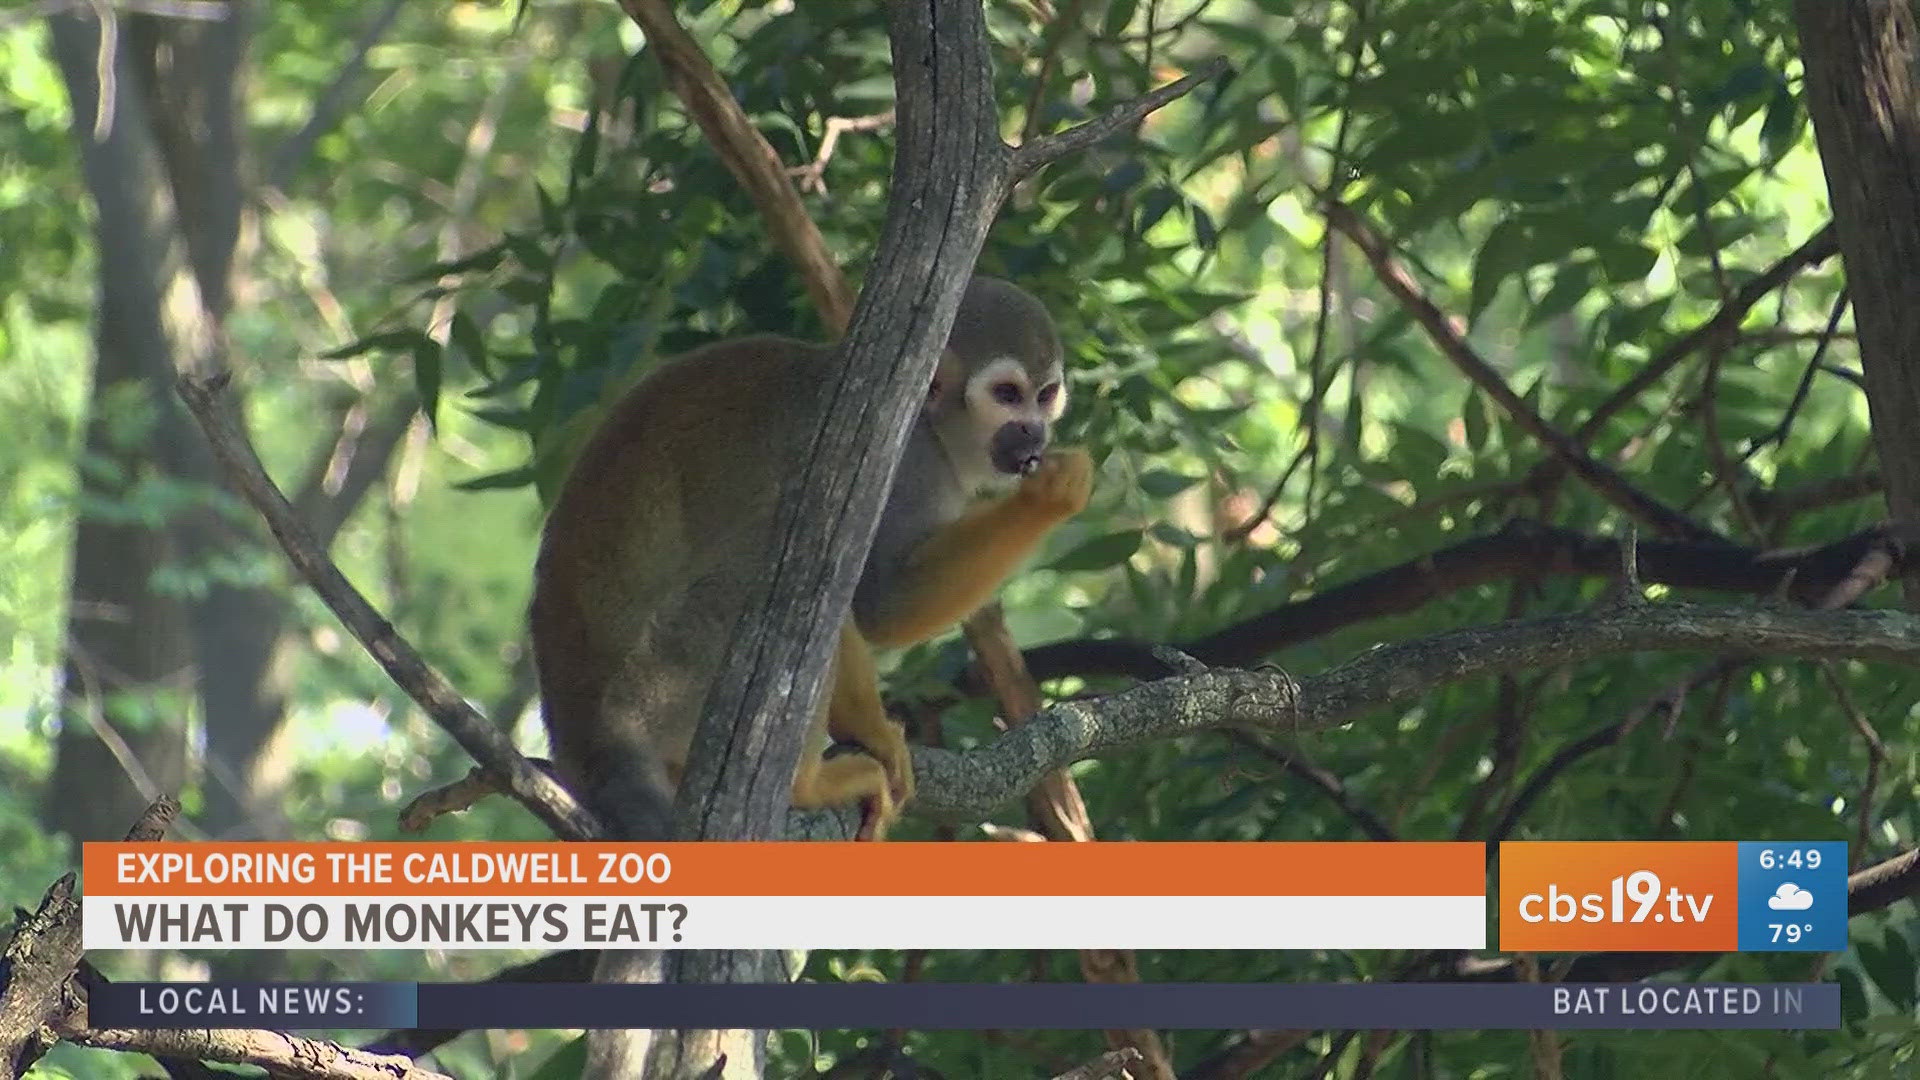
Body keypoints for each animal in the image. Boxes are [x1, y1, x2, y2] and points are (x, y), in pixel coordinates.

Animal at [533, 272, 1090, 837]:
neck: (932, 421)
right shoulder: (906, 460)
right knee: (789, 566)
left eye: (1044, 396)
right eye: (1006, 395)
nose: (1033, 431)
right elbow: (877, 601)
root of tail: (592, 740)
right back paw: (806, 786)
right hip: (665, 683)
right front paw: (1050, 496)